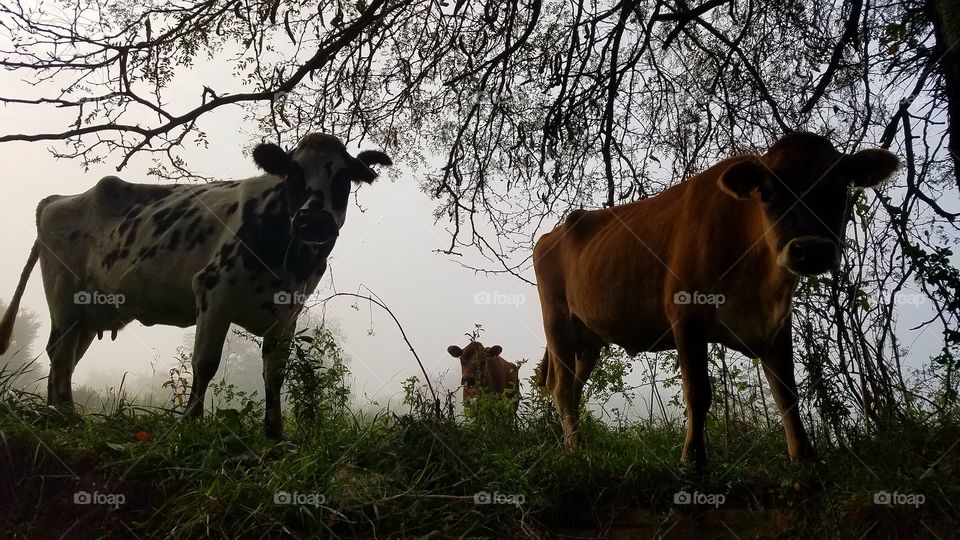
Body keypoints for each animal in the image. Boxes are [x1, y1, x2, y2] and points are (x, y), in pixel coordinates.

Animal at [0, 133, 392, 439]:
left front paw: (275, 434)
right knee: (61, 353)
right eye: (292, 174)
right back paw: (64, 415)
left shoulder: (288, 313)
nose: (313, 221)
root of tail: (57, 199)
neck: (289, 257)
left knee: (65, 357)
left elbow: (274, 373)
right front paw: (190, 424)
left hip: (90, 311)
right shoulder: (214, 293)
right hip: (65, 296)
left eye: (344, 178)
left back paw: (55, 415)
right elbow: (205, 363)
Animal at [534, 132, 898, 469]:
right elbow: (698, 393)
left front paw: (806, 460)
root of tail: (556, 231)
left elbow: (787, 394)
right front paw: (693, 461)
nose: (811, 249)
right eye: (768, 193)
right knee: (562, 387)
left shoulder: (776, 325)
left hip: (589, 340)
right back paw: (577, 451)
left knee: (574, 387)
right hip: (557, 322)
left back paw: (572, 446)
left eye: (842, 187)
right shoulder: (686, 316)